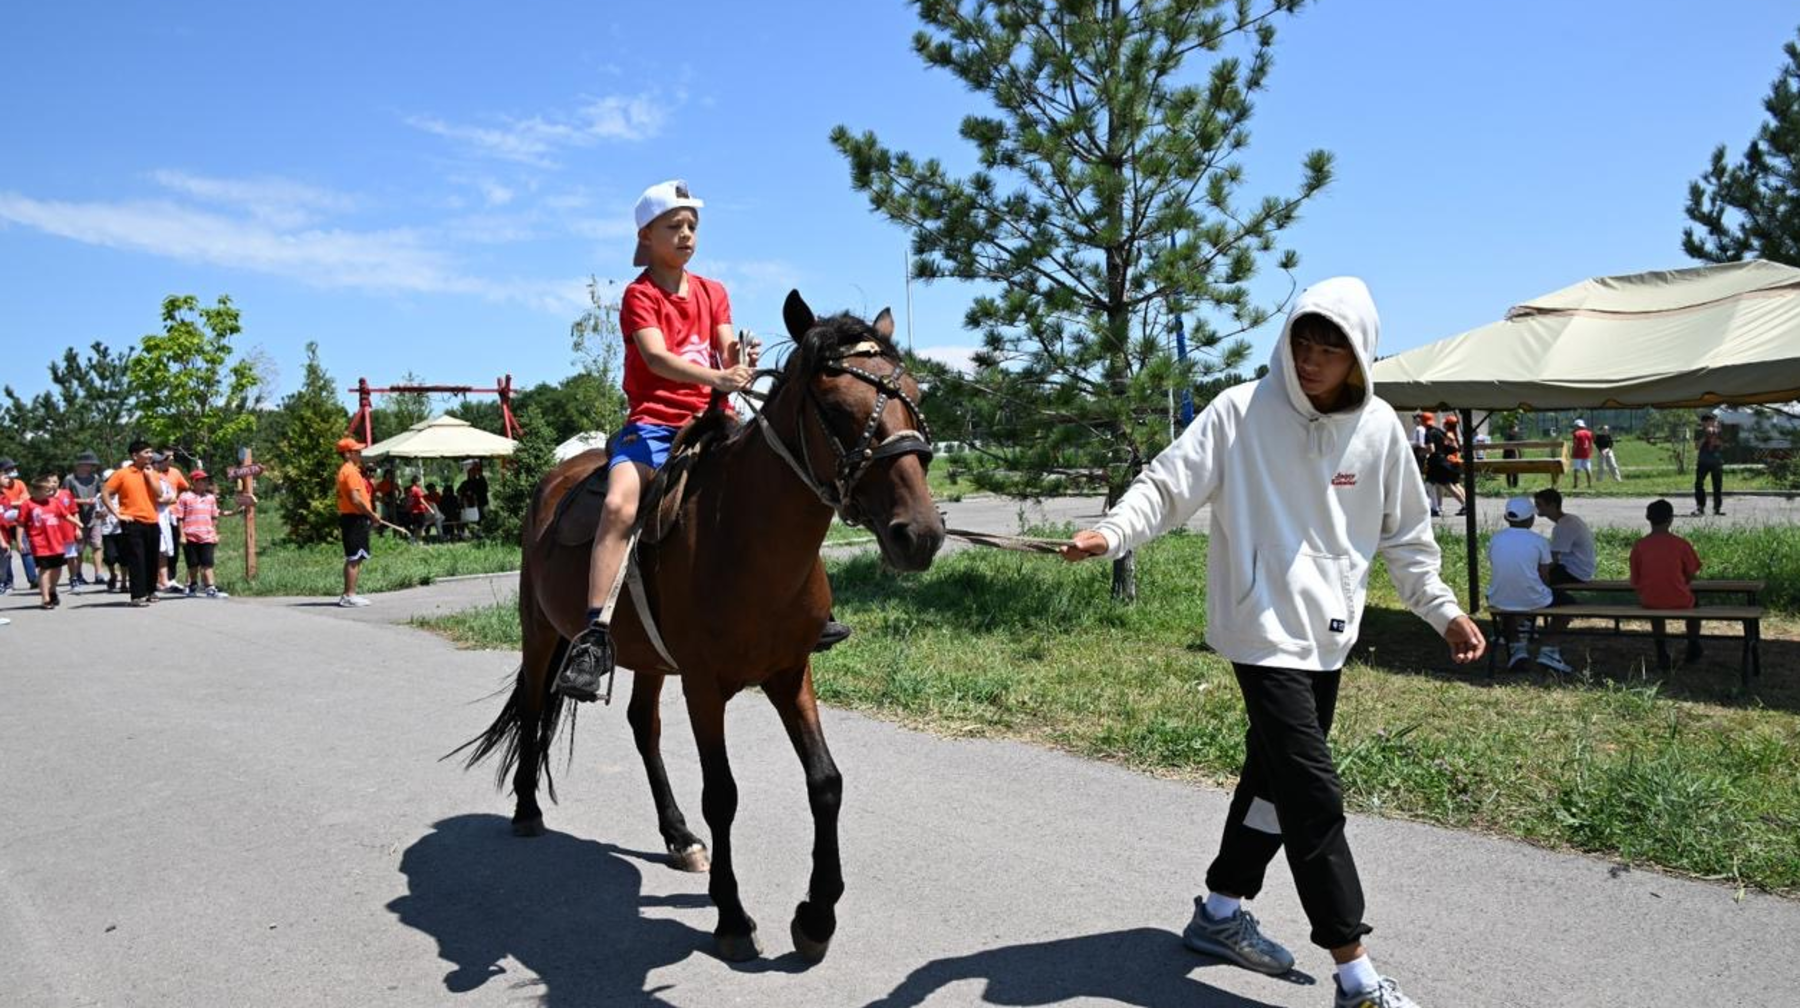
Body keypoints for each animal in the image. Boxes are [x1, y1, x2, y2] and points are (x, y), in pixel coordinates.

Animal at [453, 289, 943, 957]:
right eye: (837, 407)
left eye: (915, 394)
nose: (919, 534)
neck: (743, 535)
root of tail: (553, 482)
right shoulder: (705, 686)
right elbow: (724, 794)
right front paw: (732, 916)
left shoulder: (790, 671)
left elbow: (825, 781)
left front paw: (816, 916)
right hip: (542, 633)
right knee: (533, 708)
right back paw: (528, 810)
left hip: (648, 658)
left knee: (643, 727)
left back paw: (678, 836)